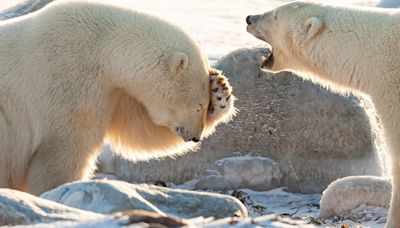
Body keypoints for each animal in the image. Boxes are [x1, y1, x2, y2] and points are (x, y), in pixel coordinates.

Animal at [0, 0, 236, 195]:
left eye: (205, 105)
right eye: (198, 106)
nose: (195, 136)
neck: (101, 48)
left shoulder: (113, 90)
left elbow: (139, 129)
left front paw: (220, 90)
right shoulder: (68, 79)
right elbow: (63, 150)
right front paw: (61, 189)